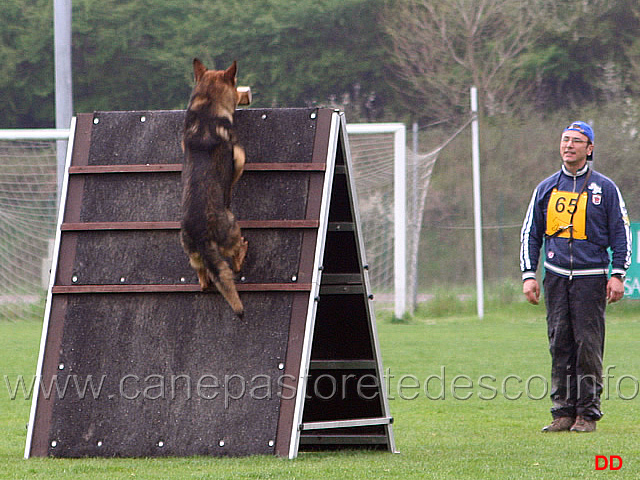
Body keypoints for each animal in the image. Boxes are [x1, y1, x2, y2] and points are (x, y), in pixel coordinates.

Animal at [182, 58, 250, 316]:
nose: (244, 95)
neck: (207, 104)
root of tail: (201, 235)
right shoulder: (238, 156)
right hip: (232, 228)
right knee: (235, 259)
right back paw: (244, 248)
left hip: (193, 255)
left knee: (204, 276)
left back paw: (205, 282)